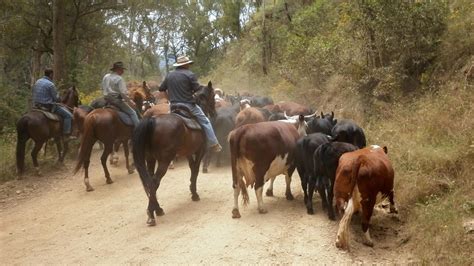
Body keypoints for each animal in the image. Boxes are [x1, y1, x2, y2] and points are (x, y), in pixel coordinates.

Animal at [132, 81, 216, 227]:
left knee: (150, 182)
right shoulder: (199, 151)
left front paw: (192, 191)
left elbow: (192, 168)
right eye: (213, 96)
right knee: (155, 182)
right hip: (164, 161)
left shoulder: (188, 152)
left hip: (150, 159)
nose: (215, 113)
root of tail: (152, 120)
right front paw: (194, 194)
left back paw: (157, 209)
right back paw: (151, 214)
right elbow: (195, 171)